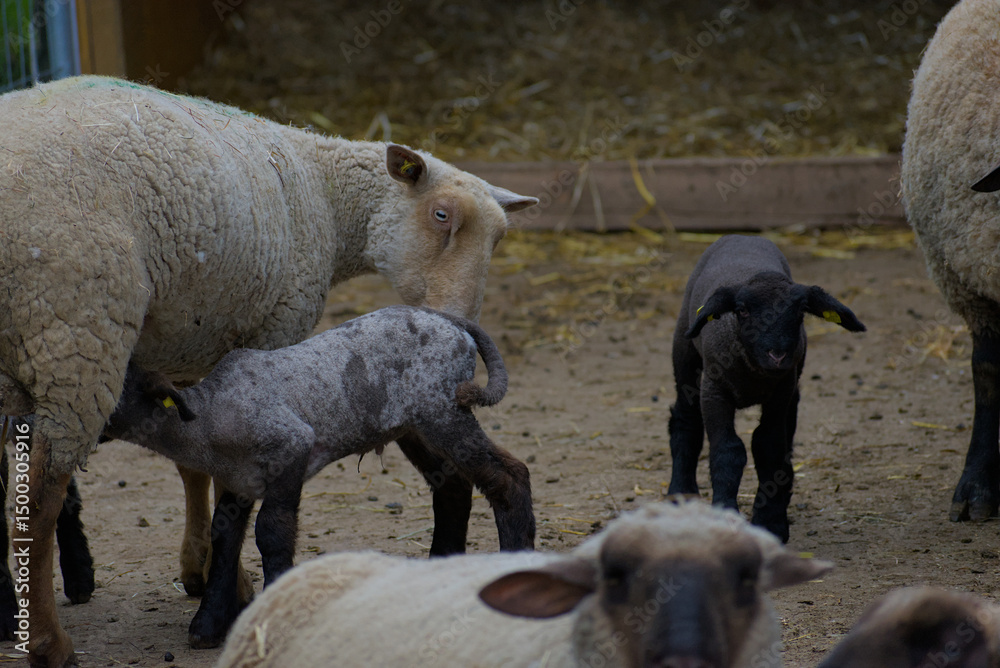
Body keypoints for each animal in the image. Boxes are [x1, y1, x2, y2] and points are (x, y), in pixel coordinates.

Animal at [102, 304, 535, 648]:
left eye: (116, 389)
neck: (210, 417)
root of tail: (450, 320)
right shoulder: (240, 481)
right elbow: (223, 538)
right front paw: (207, 625)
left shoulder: (291, 449)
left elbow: (272, 532)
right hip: (414, 427)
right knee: (453, 488)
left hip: (444, 409)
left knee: (509, 477)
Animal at [667, 235, 866, 542]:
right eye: (742, 310)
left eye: (800, 312)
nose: (777, 355)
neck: (753, 372)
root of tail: (743, 236)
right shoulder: (714, 392)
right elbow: (728, 451)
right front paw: (726, 516)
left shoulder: (781, 392)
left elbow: (768, 448)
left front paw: (771, 523)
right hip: (686, 357)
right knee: (685, 419)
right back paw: (681, 493)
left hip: (793, 387)